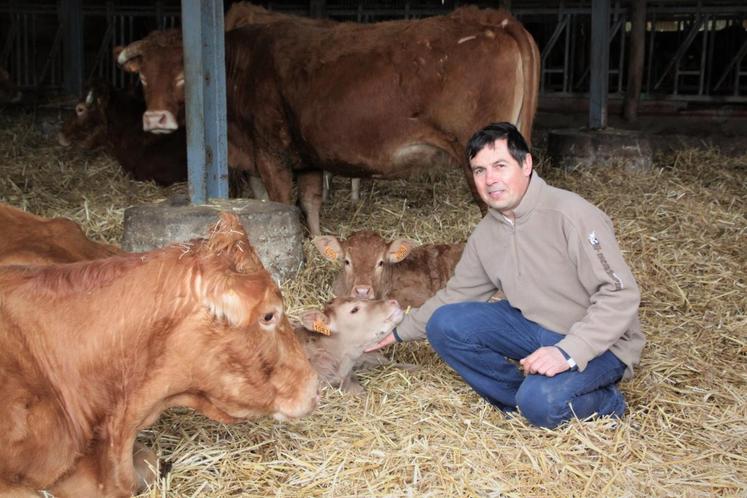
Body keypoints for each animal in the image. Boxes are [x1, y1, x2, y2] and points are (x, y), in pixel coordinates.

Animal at [114, 5, 540, 235]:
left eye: (184, 75)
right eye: (143, 76)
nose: (155, 118)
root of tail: (492, 19)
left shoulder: (270, 153)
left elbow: (283, 203)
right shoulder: (304, 158)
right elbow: (310, 203)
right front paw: (320, 244)